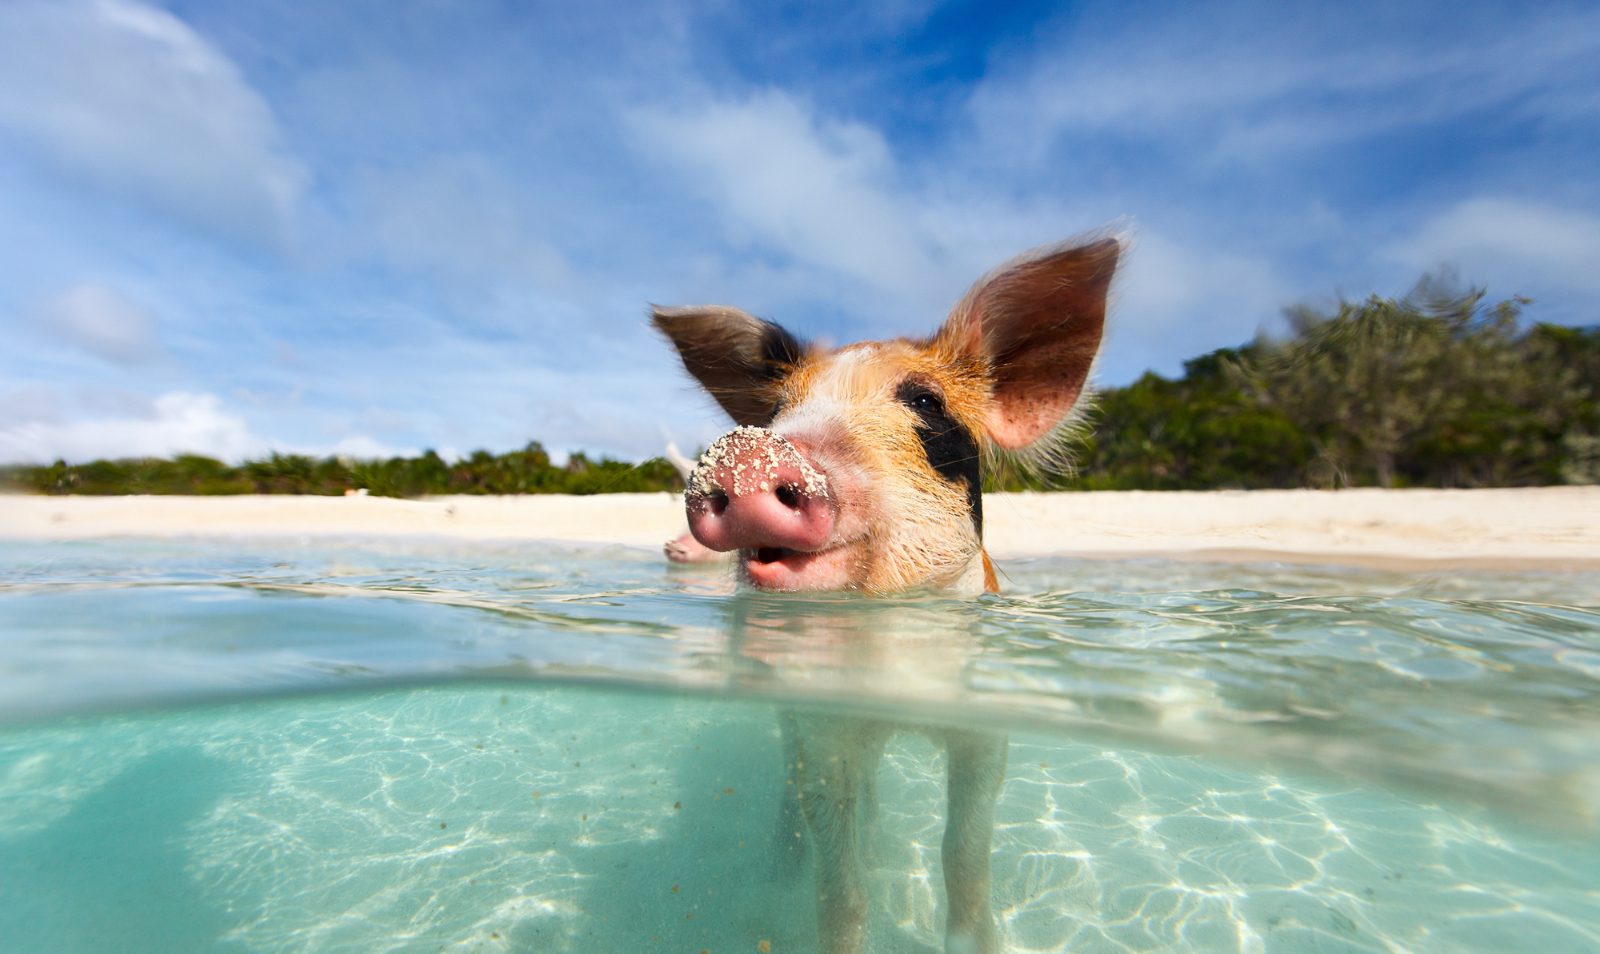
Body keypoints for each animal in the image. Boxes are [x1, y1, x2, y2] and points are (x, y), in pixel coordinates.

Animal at [652, 235, 1120, 953]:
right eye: (776, 412)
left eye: (925, 402)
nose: (749, 450)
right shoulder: (822, 727)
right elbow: (840, 883)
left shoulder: (985, 727)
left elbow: (964, 850)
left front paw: (972, 940)